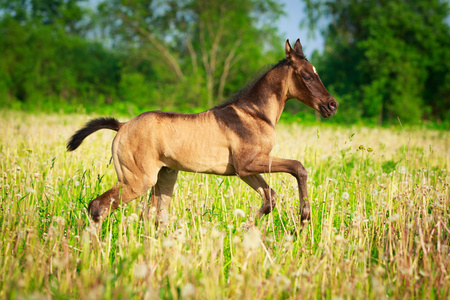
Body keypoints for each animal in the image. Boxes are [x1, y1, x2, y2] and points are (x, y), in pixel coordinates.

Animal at [67, 38, 338, 229]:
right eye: (307, 76)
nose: (331, 105)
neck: (255, 114)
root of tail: (122, 126)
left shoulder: (244, 170)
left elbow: (269, 197)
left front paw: (248, 226)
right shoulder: (249, 163)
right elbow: (298, 167)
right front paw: (303, 220)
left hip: (165, 177)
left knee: (153, 216)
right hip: (137, 180)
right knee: (98, 206)